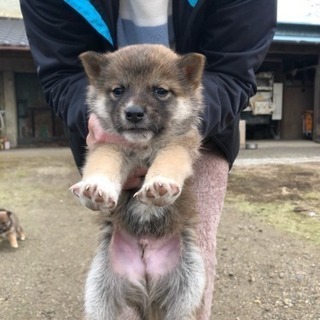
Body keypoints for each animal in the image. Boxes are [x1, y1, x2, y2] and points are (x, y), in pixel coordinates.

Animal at [70, 44, 205, 320]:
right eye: (118, 90)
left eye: (160, 91)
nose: (133, 113)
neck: (143, 147)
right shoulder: (108, 146)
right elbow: (102, 165)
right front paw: (96, 189)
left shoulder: (179, 146)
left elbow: (168, 163)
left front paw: (160, 186)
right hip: (99, 293)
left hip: (188, 290)